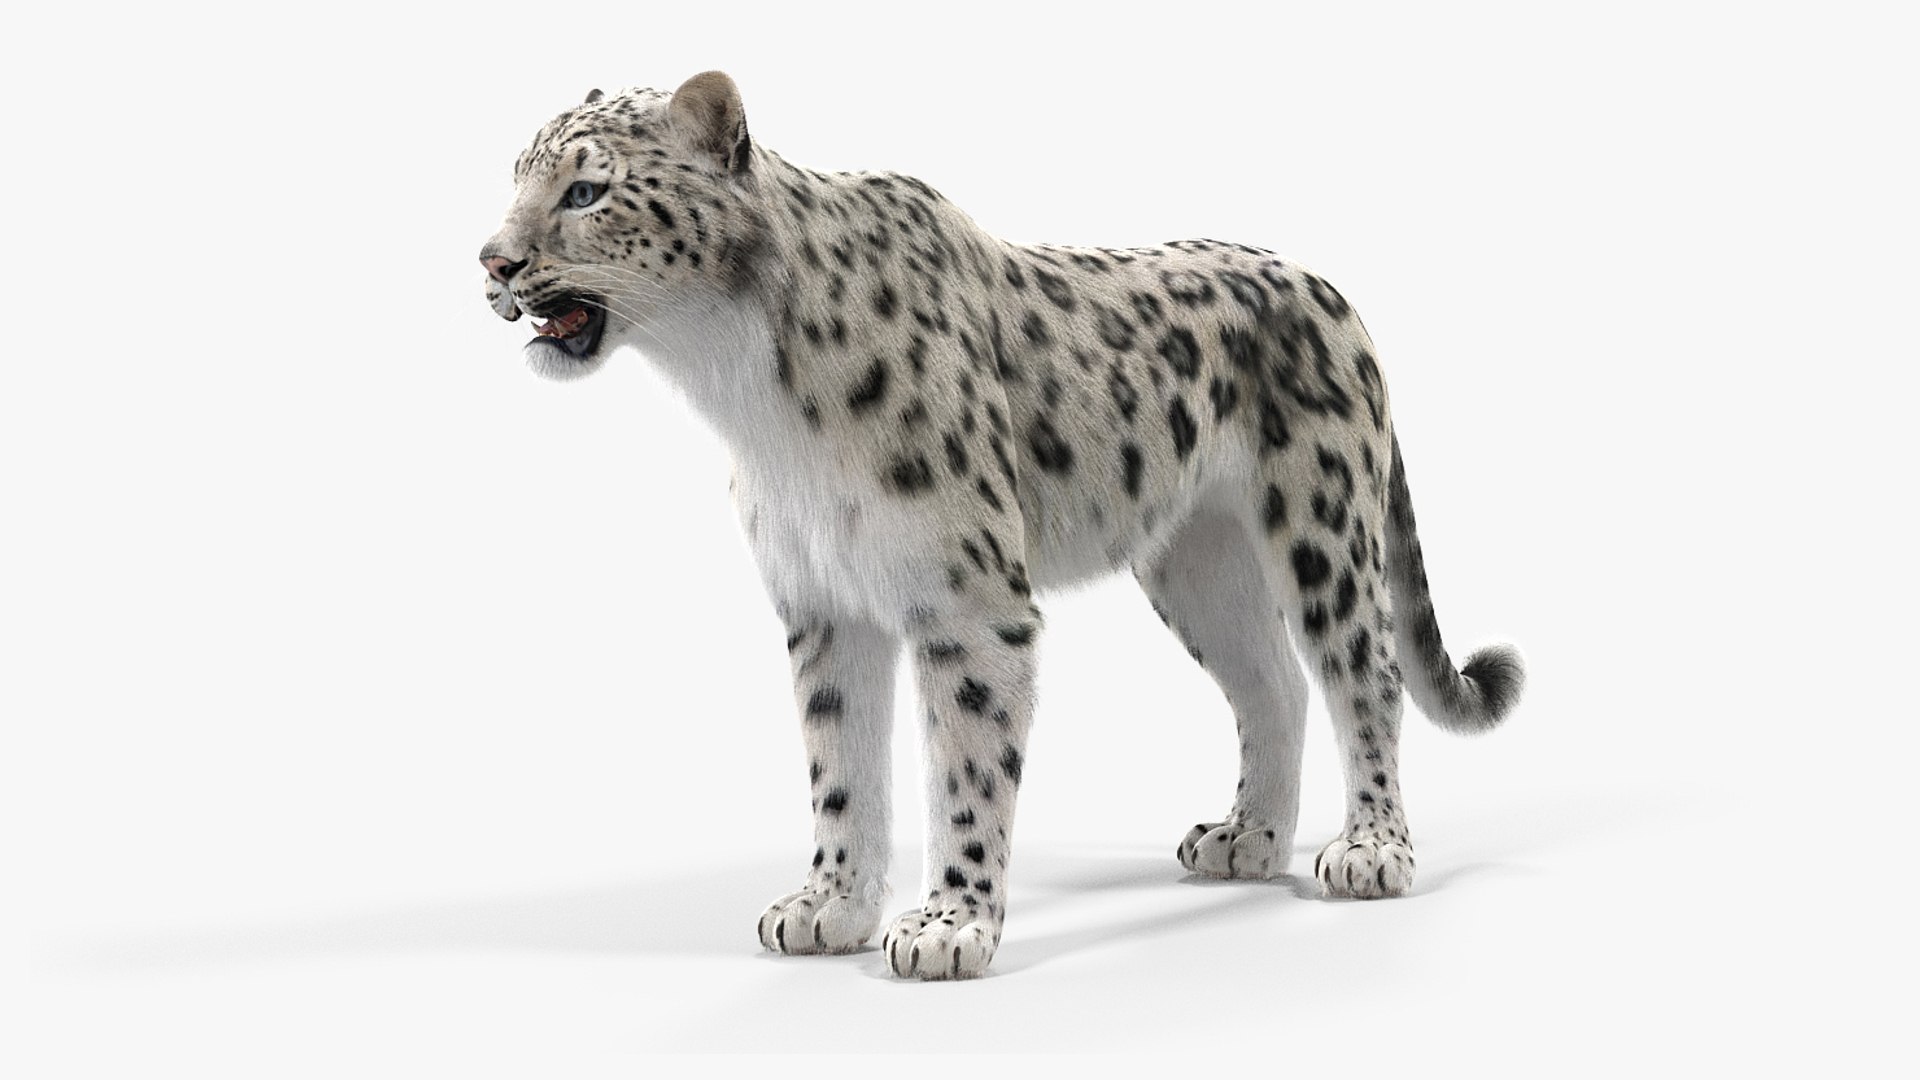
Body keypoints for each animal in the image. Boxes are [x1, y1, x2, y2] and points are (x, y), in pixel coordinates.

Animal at [478, 72, 1525, 980]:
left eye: (585, 188)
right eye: (517, 179)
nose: (492, 262)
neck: (743, 388)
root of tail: (1328, 288)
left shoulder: (967, 602)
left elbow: (965, 768)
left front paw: (948, 927)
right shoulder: (823, 601)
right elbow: (840, 766)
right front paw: (831, 908)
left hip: (1323, 528)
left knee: (1364, 673)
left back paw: (1371, 849)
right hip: (1199, 561)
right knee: (1271, 682)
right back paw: (1251, 839)